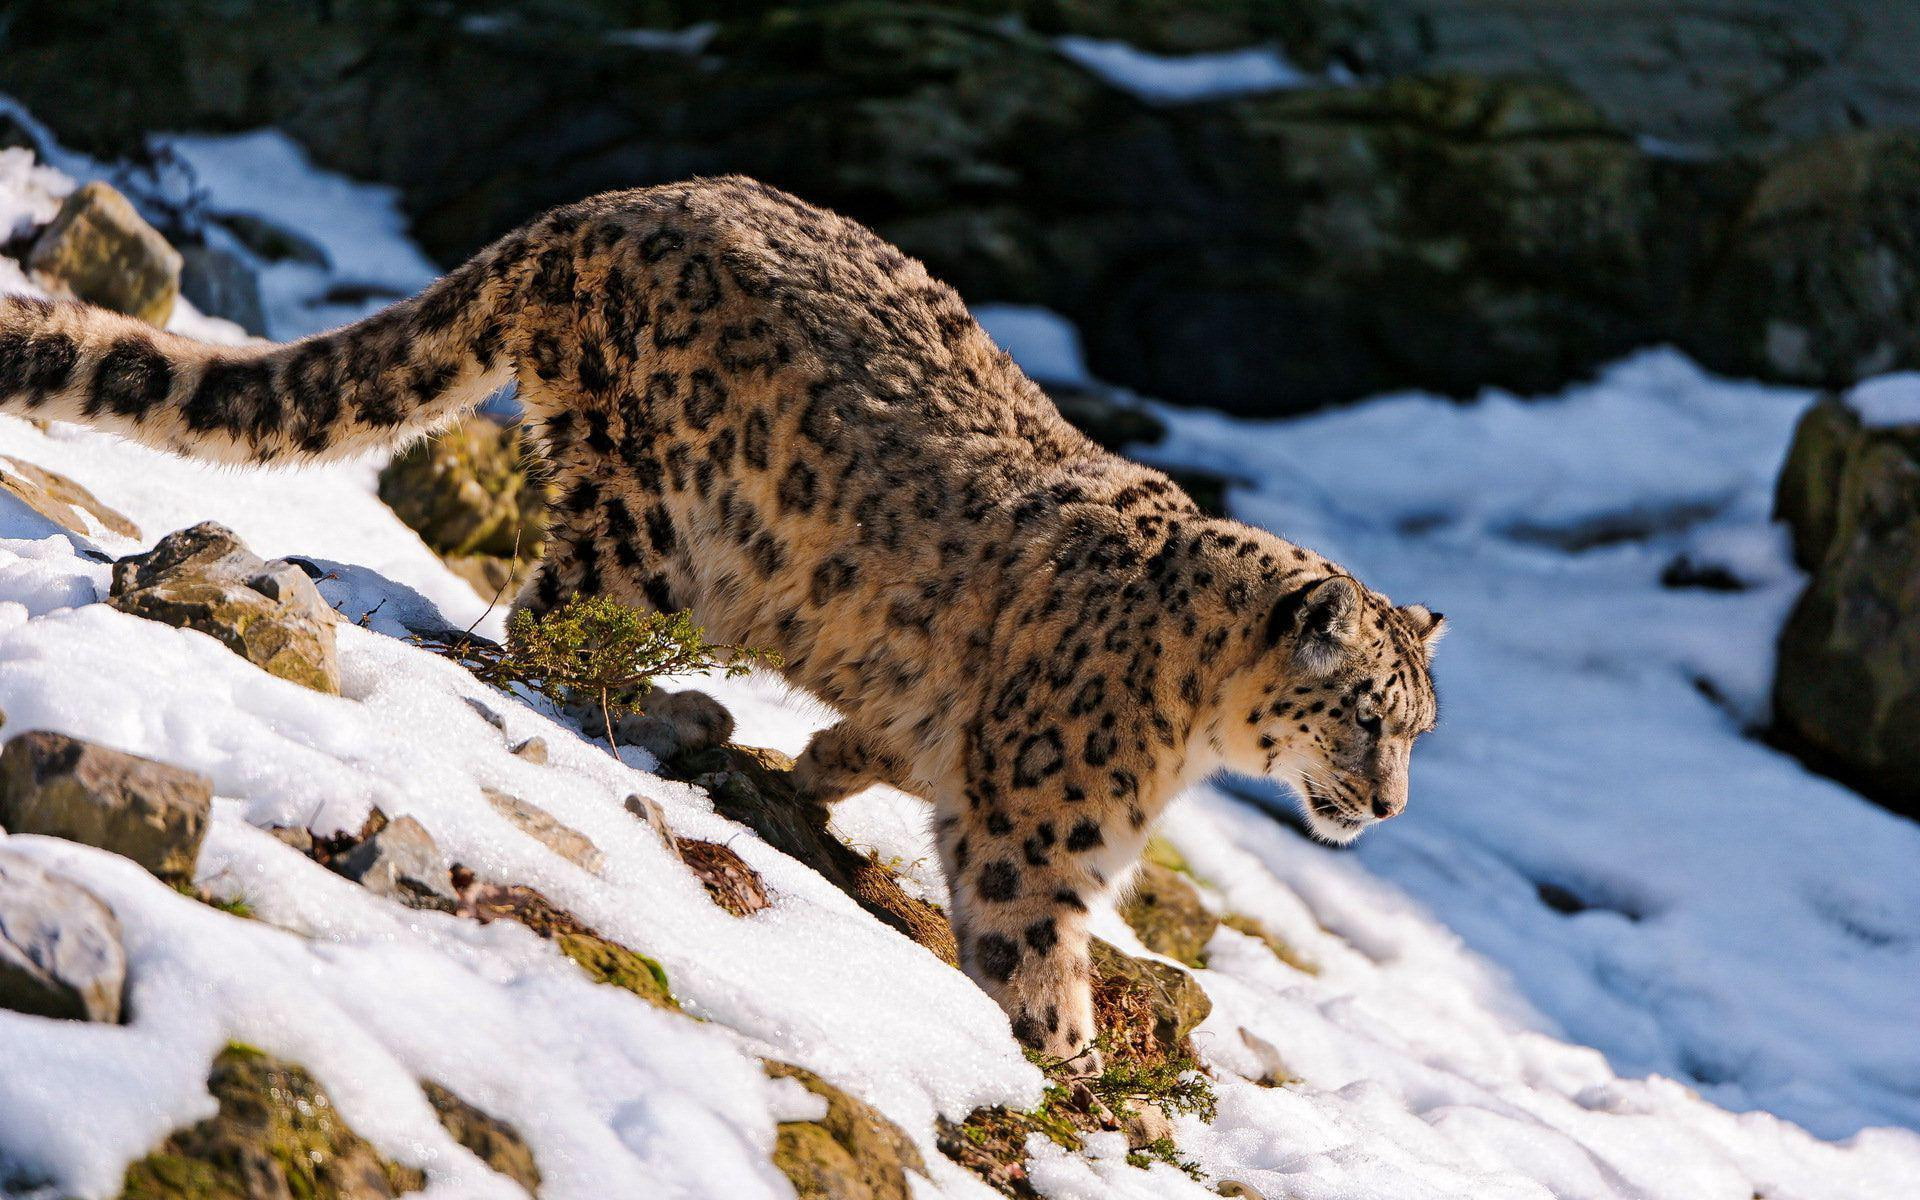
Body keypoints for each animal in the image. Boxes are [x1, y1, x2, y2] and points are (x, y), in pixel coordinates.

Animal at [0, 175, 1444, 1064]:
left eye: (1419, 729)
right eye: (1365, 716)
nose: (1388, 808)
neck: (1194, 730)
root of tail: (594, 208)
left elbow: (883, 742)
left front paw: (824, 768)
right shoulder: (1043, 835)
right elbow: (1033, 950)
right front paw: (1066, 1064)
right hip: (646, 518)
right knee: (548, 626)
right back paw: (674, 707)